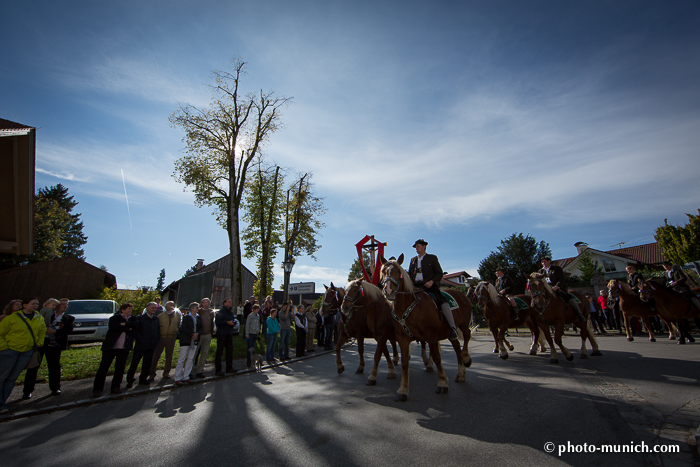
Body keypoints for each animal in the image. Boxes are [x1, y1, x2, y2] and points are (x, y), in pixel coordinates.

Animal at [380, 254, 474, 404]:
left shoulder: (431, 337)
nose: (389, 291)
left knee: (466, 336)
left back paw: (466, 358)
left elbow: (437, 358)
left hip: (463, 325)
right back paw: (460, 373)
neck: (408, 306)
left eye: (398, 272)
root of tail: (460, 294)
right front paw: (403, 390)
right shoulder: (402, 339)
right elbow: (405, 363)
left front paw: (442, 383)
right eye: (383, 271)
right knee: (456, 346)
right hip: (450, 332)